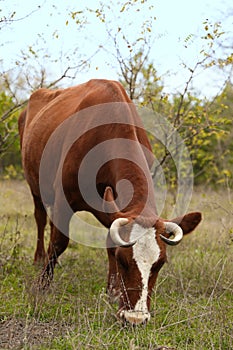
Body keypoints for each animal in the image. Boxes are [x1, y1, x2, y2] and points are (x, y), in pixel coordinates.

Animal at [18, 79, 201, 326]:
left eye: (160, 263)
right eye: (123, 260)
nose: (135, 318)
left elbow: (109, 241)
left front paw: (112, 289)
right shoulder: (63, 201)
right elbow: (58, 243)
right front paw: (43, 284)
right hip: (34, 184)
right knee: (40, 218)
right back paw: (39, 258)